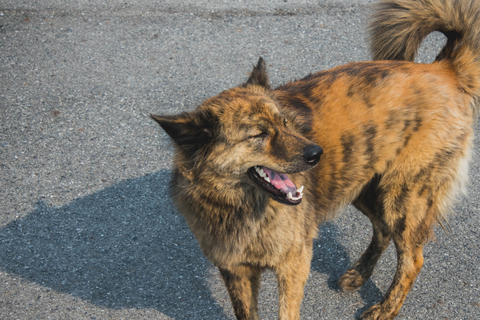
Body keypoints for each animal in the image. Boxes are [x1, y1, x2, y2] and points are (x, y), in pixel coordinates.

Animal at [150, 1, 480, 318]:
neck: (240, 206)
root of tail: (444, 68)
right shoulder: (236, 272)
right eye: (258, 134)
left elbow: (287, 312)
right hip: (363, 187)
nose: (316, 153)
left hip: (403, 198)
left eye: (285, 122)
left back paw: (385, 309)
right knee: (383, 230)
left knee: (412, 259)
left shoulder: (293, 264)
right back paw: (359, 273)